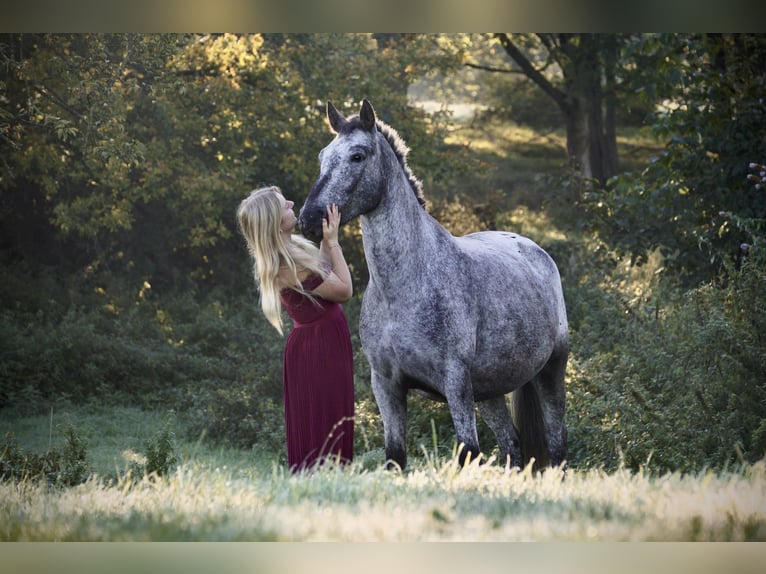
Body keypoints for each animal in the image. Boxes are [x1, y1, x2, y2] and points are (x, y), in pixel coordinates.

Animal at [300, 100, 568, 472]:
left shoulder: (455, 382)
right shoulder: (387, 386)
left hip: (552, 370)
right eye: (323, 155)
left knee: (557, 446)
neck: (404, 289)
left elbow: (468, 452)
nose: (308, 219)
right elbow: (395, 457)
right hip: (489, 392)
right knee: (512, 446)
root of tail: (533, 248)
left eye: (357, 155)